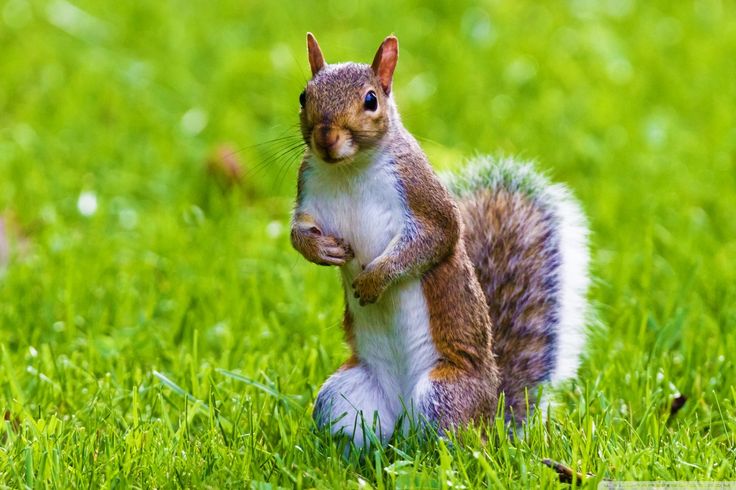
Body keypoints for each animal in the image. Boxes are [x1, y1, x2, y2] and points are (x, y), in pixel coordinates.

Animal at [290, 33, 591, 449]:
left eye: (371, 100)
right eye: (304, 96)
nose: (325, 138)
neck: (348, 169)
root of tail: (492, 417)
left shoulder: (422, 196)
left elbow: (435, 240)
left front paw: (373, 280)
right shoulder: (308, 190)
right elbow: (297, 233)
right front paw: (321, 251)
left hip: (443, 394)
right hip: (342, 397)